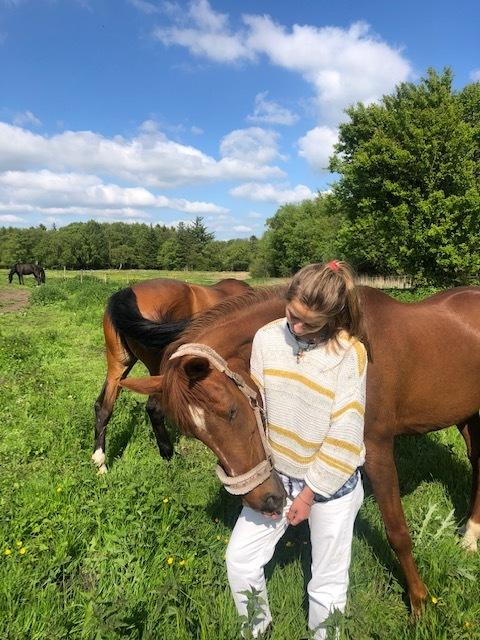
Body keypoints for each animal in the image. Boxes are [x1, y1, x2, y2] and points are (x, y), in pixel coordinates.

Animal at [92, 278, 253, 472]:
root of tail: (127, 293)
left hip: (118, 366)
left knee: (103, 407)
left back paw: (100, 463)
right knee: (153, 409)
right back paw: (168, 455)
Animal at [122, 284, 480, 620]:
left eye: (231, 412)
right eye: (195, 434)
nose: (264, 500)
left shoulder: (377, 448)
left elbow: (397, 532)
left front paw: (419, 602)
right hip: (467, 417)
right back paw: (470, 536)